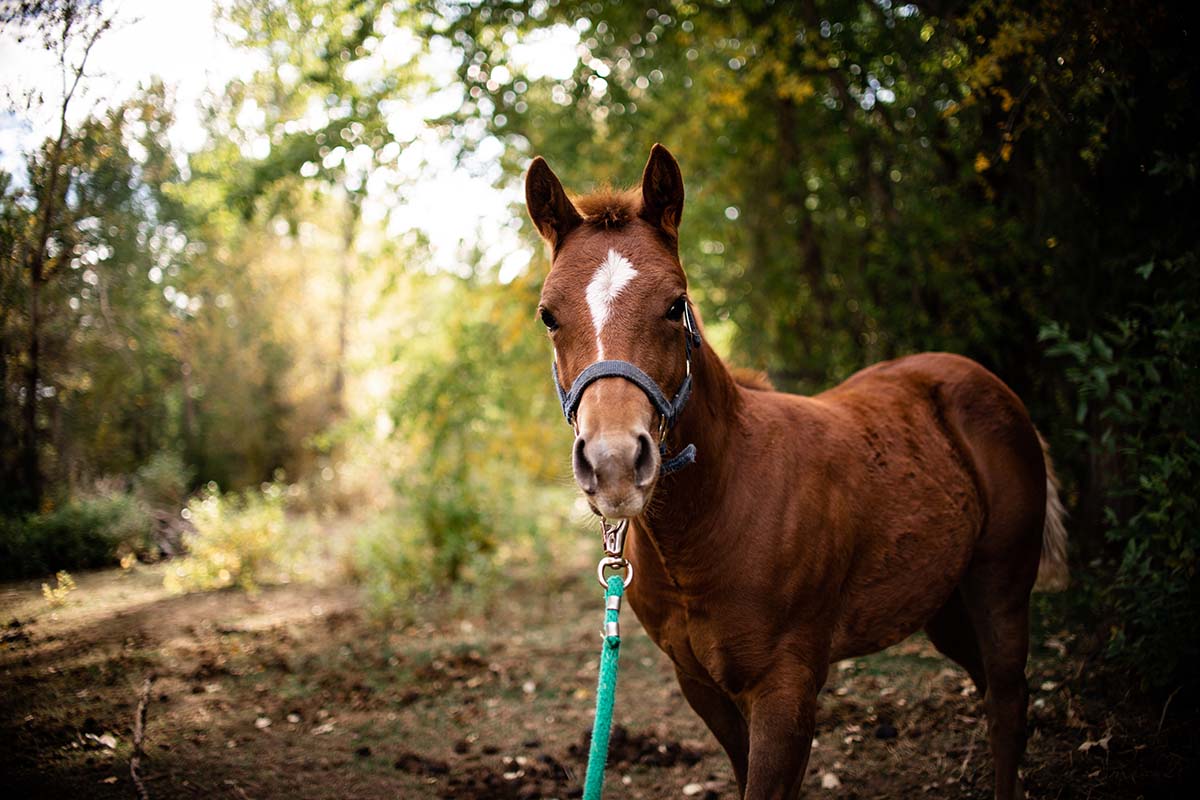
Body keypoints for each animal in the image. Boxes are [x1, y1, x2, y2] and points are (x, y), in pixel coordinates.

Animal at [525, 145, 1070, 800]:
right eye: (548, 316)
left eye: (676, 305)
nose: (614, 466)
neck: (717, 514)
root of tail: (989, 384)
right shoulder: (701, 687)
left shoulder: (786, 691)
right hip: (945, 604)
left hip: (1001, 587)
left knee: (1008, 702)